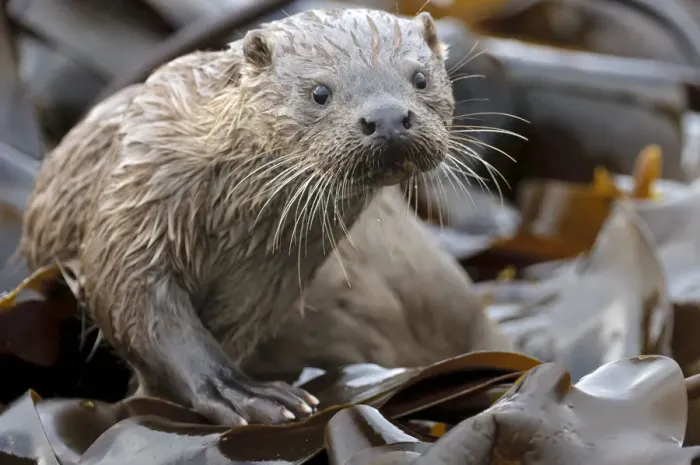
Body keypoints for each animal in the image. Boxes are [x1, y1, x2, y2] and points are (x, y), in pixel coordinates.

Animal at [19, 8, 456, 425]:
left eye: (420, 79)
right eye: (319, 92)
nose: (387, 118)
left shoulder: (266, 281)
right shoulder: (135, 197)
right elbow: (133, 300)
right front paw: (236, 391)